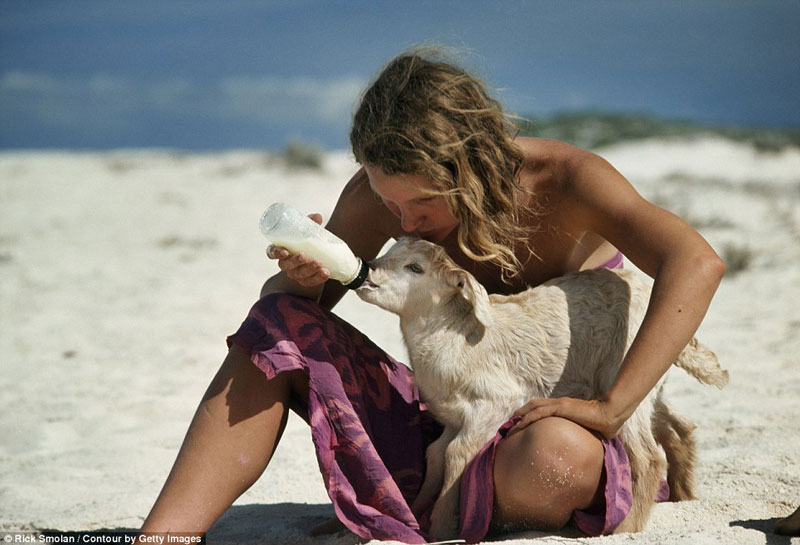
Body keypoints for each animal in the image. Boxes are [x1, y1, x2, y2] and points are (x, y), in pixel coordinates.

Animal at [358, 238, 732, 540]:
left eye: (415, 268)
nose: (370, 268)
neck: (455, 333)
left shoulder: (496, 403)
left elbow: (457, 454)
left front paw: (444, 527)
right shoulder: (453, 417)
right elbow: (435, 453)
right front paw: (417, 511)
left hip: (625, 373)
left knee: (648, 456)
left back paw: (626, 528)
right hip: (644, 387)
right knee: (678, 425)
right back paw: (684, 495)